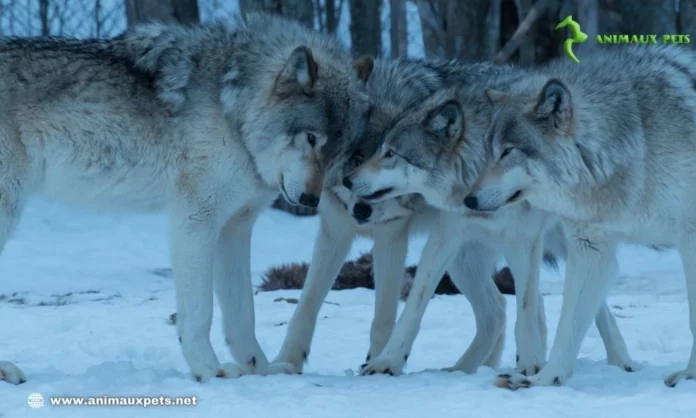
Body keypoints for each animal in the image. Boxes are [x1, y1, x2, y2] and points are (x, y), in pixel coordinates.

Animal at [0, 12, 376, 386]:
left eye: (337, 152)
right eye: (311, 138)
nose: (311, 200)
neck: (233, 112)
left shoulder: (235, 228)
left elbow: (243, 315)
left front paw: (262, 370)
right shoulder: (196, 218)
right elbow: (200, 313)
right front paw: (210, 370)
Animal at [460, 44, 696, 386]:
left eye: (508, 151)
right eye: (489, 151)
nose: (469, 199)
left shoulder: (690, 239)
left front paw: (690, 375)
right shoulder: (589, 248)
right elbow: (567, 325)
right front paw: (544, 380)